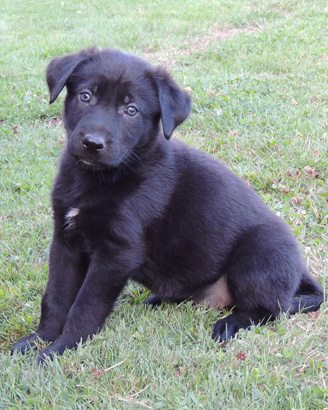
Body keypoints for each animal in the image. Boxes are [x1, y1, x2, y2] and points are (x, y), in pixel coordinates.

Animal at [12, 48, 322, 362]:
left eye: (131, 110)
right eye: (86, 96)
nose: (92, 143)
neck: (102, 177)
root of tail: (300, 271)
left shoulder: (117, 253)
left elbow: (86, 305)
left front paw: (60, 349)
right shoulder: (65, 240)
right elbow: (55, 297)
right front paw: (39, 340)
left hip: (260, 251)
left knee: (272, 310)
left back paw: (231, 323)